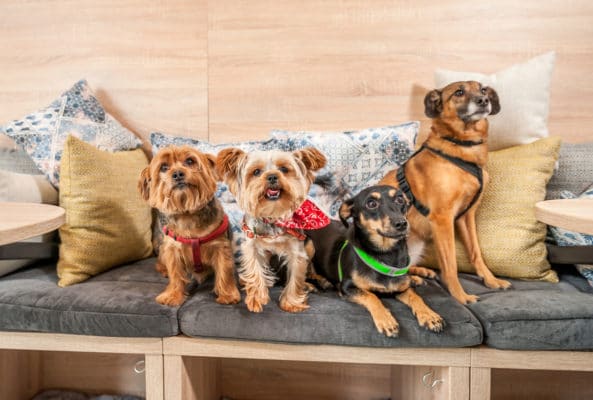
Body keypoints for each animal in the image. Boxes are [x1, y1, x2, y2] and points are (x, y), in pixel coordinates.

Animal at [139, 146, 240, 306]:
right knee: (161, 263)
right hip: (163, 250)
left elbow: (225, 270)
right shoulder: (172, 249)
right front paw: (173, 295)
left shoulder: (220, 247)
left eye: (190, 161)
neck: (187, 215)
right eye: (164, 167)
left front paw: (228, 294)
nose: (177, 174)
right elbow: (175, 274)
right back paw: (164, 270)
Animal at [308, 186, 442, 336]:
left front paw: (429, 315)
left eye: (400, 199)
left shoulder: (401, 288)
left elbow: (416, 297)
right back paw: (319, 282)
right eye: (371, 204)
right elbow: (372, 296)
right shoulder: (347, 287)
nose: (402, 223)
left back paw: (419, 275)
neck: (386, 255)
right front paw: (386, 319)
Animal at [382, 82, 512, 306]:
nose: (484, 100)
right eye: (459, 92)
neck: (460, 147)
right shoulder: (442, 219)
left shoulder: (465, 217)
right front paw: (460, 295)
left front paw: (491, 280)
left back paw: (420, 273)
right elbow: (450, 264)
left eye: (483, 90)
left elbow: (476, 253)